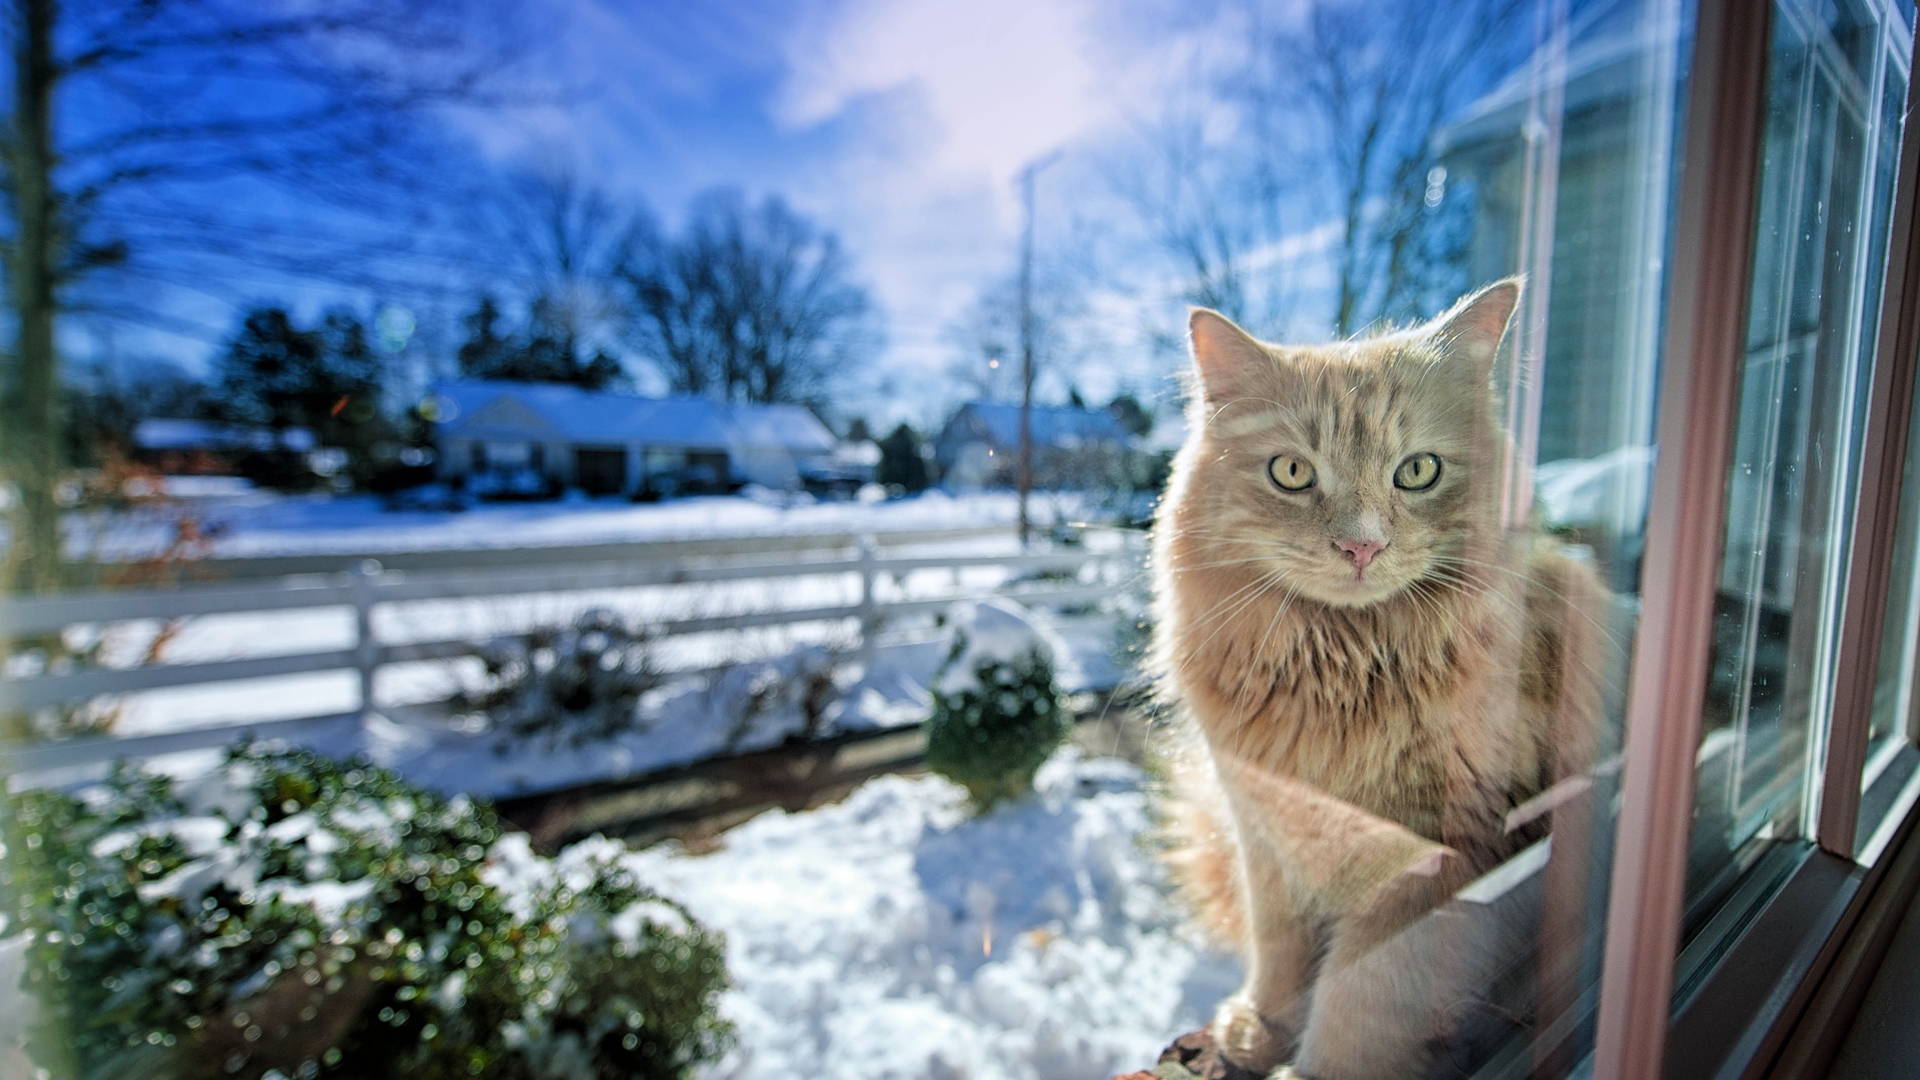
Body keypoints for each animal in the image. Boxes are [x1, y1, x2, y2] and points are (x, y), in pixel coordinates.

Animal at [1144, 282, 1612, 1068]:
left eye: (1418, 471)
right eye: (1292, 473)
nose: (1361, 546)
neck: (1343, 670)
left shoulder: (1434, 858)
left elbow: (1358, 999)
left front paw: (1307, 1069)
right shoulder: (1267, 830)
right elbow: (1279, 949)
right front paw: (1259, 1026)